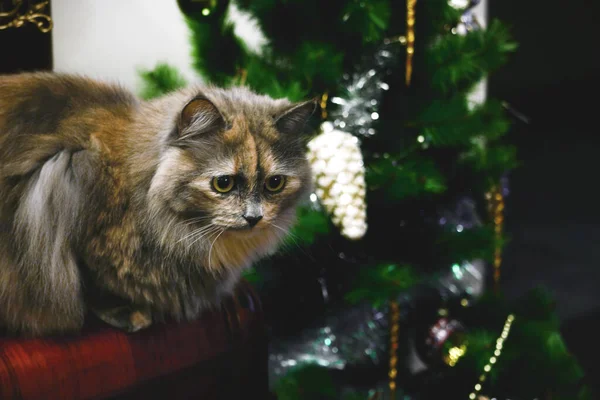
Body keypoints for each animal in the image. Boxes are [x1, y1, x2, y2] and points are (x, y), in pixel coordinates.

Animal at [0, 72, 316, 334]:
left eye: (274, 184)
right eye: (223, 183)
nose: (253, 218)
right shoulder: (62, 180)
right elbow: (89, 278)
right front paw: (130, 313)